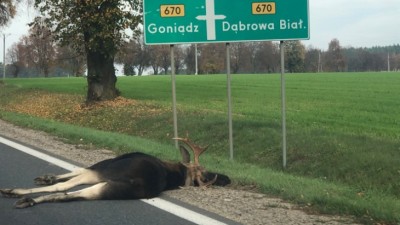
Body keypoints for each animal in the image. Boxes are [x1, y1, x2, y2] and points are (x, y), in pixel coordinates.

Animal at [0, 138, 230, 208]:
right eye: (204, 172)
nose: (226, 178)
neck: (172, 172)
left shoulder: (103, 166)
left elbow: (69, 177)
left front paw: (46, 178)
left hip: (102, 174)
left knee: (65, 187)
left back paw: (18, 193)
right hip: (108, 186)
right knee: (68, 192)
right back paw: (28, 198)